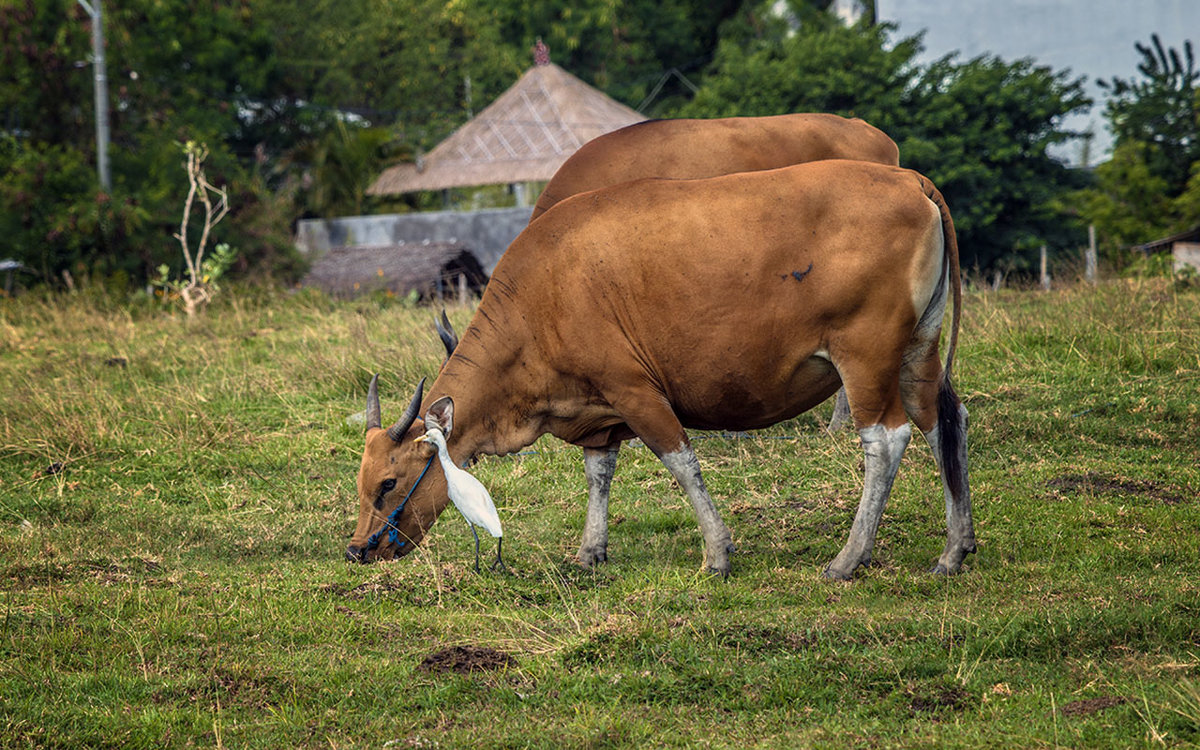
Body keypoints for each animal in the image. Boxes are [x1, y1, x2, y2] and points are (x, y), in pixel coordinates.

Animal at [350, 159, 974, 578]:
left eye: (389, 483)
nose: (358, 548)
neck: (544, 294)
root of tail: (908, 179)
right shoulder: (597, 412)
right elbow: (598, 475)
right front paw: (590, 550)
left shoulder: (636, 391)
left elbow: (682, 463)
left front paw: (717, 553)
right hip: (918, 350)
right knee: (944, 421)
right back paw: (954, 548)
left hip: (866, 357)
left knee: (886, 439)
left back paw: (849, 557)